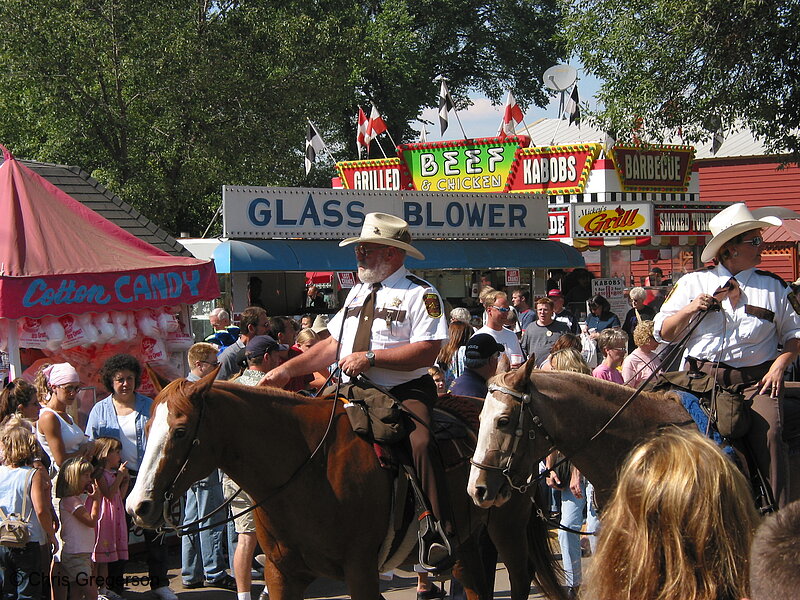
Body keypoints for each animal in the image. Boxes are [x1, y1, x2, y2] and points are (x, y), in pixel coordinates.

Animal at [125, 370, 564, 600]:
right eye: (148, 426)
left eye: (181, 431)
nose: (137, 507)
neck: (306, 468)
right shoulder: (283, 576)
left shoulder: (360, 572)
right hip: (468, 541)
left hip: (507, 527)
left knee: (520, 576)